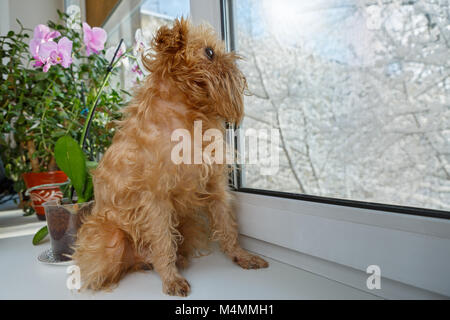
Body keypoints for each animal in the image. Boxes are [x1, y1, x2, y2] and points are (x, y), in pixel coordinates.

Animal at [71, 18, 268, 296]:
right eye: (210, 52)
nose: (235, 64)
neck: (186, 114)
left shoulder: (216, 186)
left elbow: (227, 224)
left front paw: (241, 255)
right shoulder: (155, 199)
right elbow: (163, 241)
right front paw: (171, 278)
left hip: (186, 221)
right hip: (110, 240)